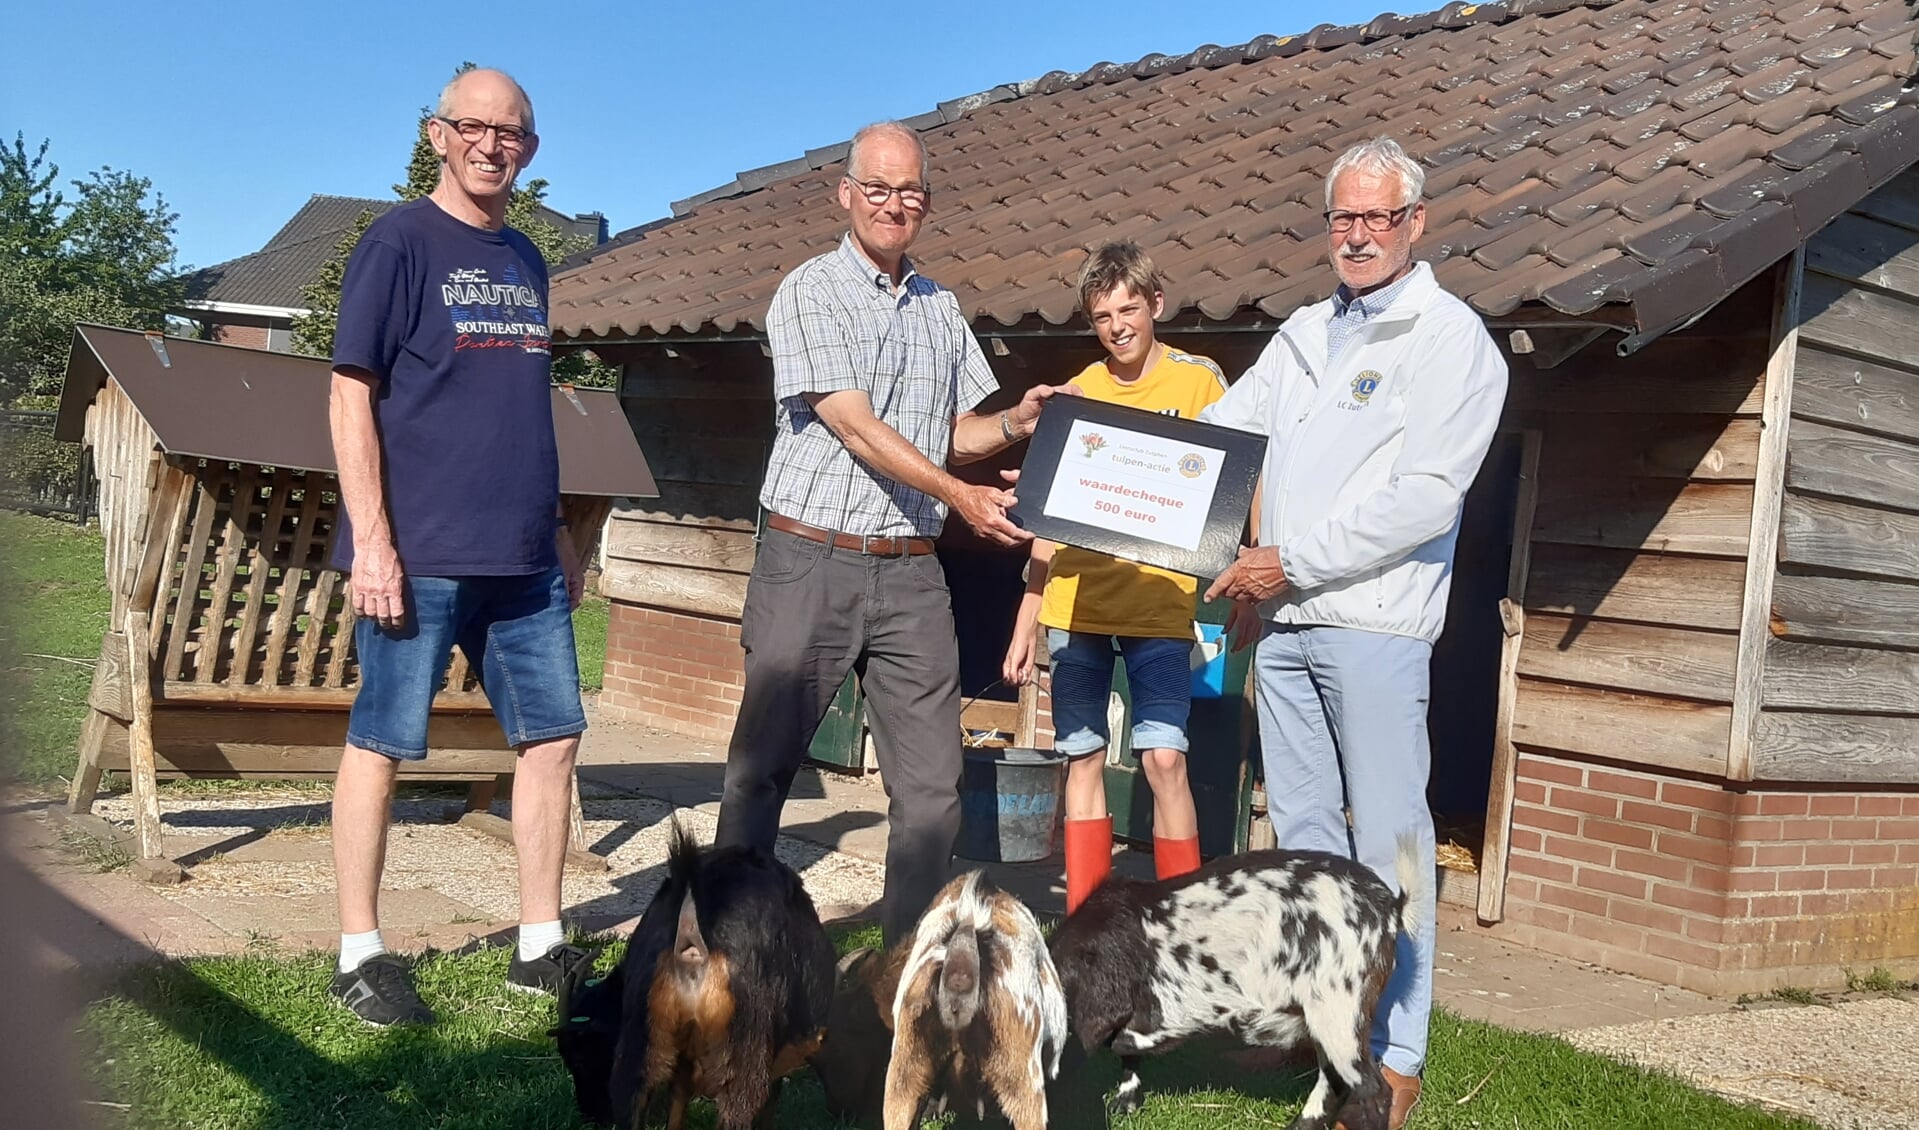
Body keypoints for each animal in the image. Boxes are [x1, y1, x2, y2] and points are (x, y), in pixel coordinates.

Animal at [1043, 836, 1435, 1128]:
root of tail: (1392, 908)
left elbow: (1122, 1044)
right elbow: (1127, 1054)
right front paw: (1124, 1104)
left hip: (1339, 1010)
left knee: (1373, 1090)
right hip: (1326, 1018)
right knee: (1334, 1080)